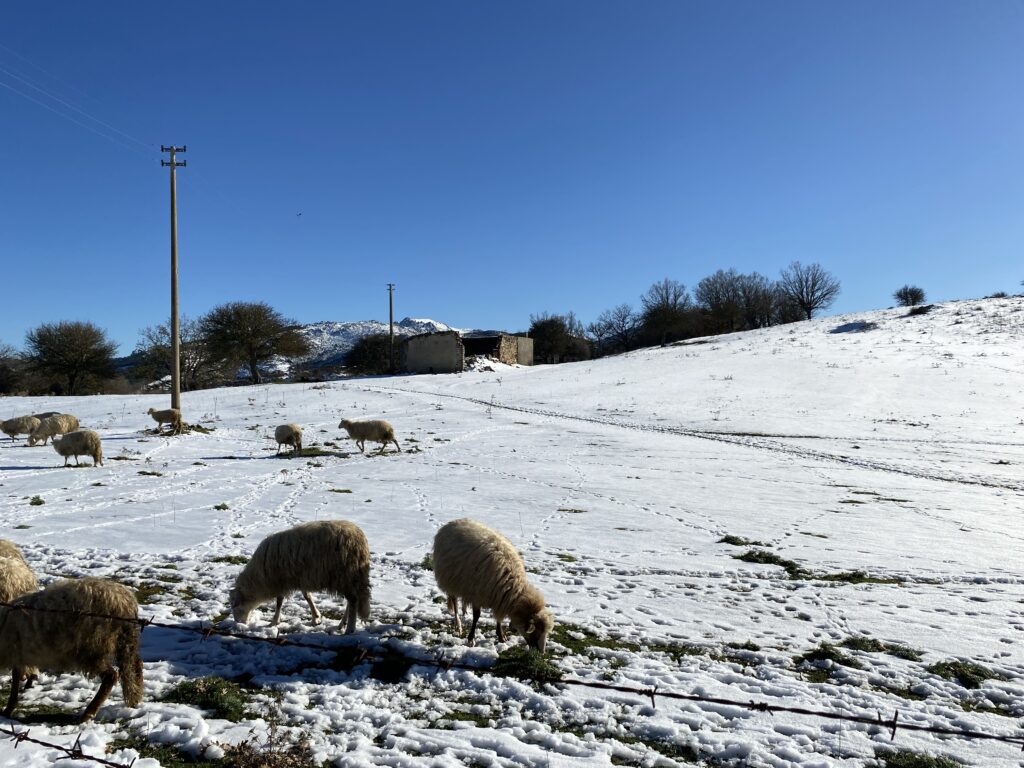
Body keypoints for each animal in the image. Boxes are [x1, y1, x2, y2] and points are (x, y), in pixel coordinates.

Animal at [0, 581, 145, 724]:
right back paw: (134, 700)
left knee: (111, 676)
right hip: (124, 643)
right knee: (135, 667)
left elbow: (15, 680)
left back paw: (88, 714)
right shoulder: (19, 653)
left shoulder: (15, 651)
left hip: (92, 648)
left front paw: (8, 709)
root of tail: (126, 602)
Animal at [229, 520, 372, 634]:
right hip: (348, 578)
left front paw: (274, 621)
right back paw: (341, 624)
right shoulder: (300, 578)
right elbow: (306, 596)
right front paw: (316, 617)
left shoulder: (281, 580)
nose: (239, 624)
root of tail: (360, 540)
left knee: (353, 600)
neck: (259, 579)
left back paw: (350, 629)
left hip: (345, 575)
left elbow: (279, 601)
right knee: (352, 601)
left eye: (235, 607)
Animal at [436, 520, 557, 651]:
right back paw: (458, 625)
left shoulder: (498, 597)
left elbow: (498, 617)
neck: (511, 586)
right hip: (450, 580)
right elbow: (476, 616)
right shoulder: (478, 595)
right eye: (537, 631)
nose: (542, 652)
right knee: (454, 602)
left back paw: (465, 611)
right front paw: (471, 639)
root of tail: (453, 522)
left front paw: (501, 635)